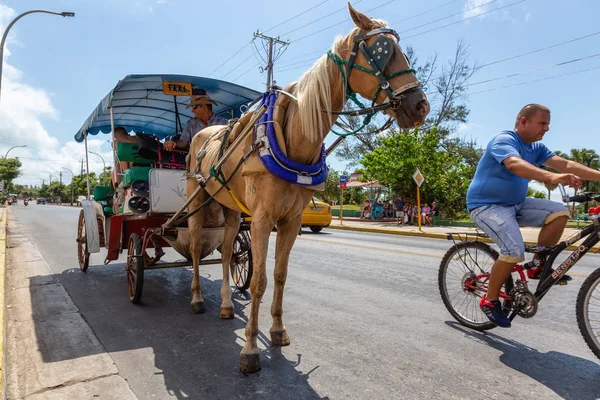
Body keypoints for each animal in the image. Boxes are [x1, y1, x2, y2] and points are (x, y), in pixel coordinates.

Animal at [185, 3, 428, 374]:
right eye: (382, 51)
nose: (420, 106)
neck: (293, 136)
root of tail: (204, 133)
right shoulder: (262, 219)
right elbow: (258, 281)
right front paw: (251, 349)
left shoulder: (291, 220)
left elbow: (280, 275)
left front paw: (277, 330)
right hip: (198, 200)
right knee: (199, 249)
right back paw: (198, 297)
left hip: (230, 208)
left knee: (226, 253)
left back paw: (226, 305)